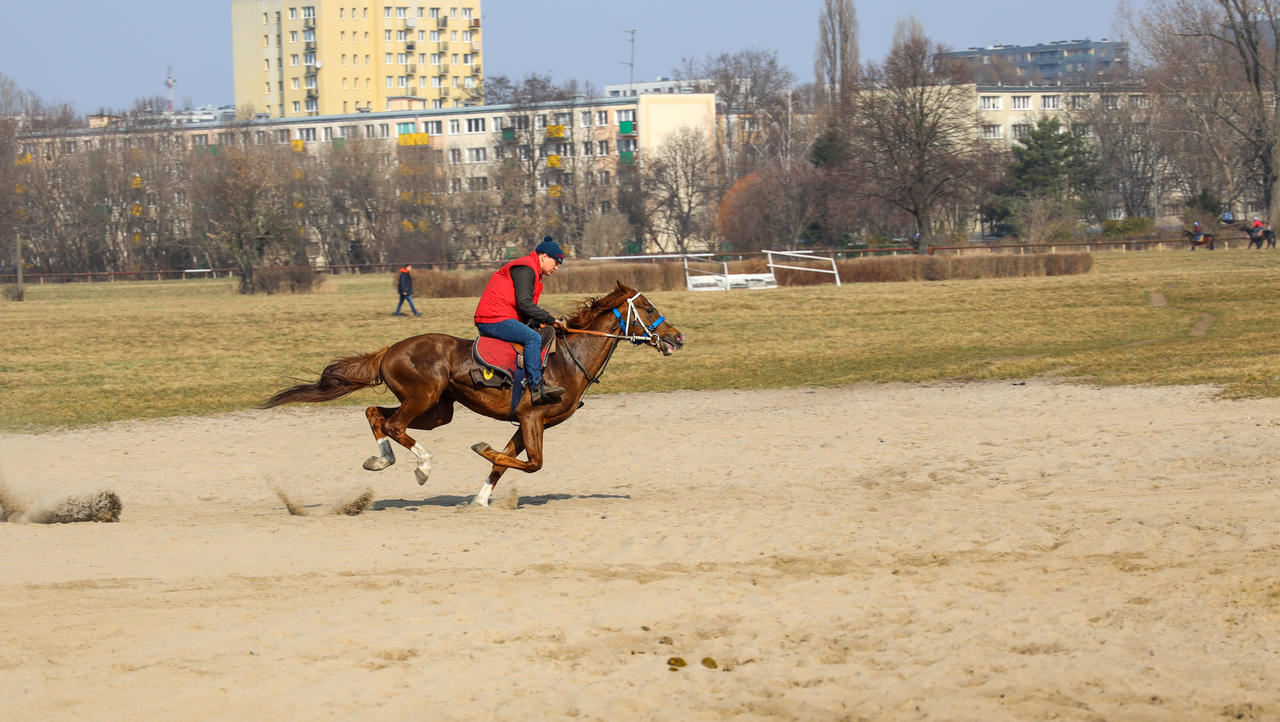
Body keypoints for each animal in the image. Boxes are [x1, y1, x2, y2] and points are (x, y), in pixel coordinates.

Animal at [264, 281, 686, 506]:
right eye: (647, 308)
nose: (677, 337)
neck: (568, 359)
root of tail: (390, 350)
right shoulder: (532, 418)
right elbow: (531, 463)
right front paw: (481, 448)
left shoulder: (530, 423)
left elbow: (507, 462)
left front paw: (481, 498)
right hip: (423, 399)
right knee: (396, 425)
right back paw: (423, 466)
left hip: (438, 410)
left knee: (375, 414)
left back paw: (380, 460)